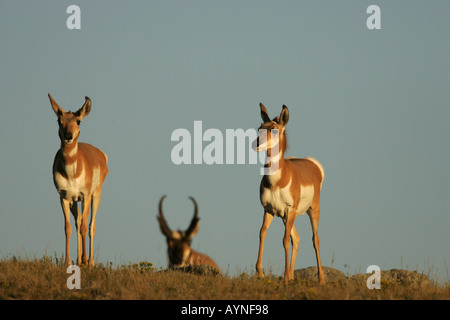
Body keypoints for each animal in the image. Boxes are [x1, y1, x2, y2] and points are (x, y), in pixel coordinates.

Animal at [49, 94, 108, 268]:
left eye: (78, 121)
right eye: (59, 120)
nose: (68, 137)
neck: (71, 172)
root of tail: (100, 154)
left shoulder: (85, 196)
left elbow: (84, 227)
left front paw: (88, 262)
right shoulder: (64, 197)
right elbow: (68, 227)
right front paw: (68, 262)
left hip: (95, 196)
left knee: (90, 225)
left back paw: (90, 262)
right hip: (74, 201)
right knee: (78, 221)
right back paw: (80, 260)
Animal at [255, 103, 326, 284]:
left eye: (273, 129)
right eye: (260, 127)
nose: (256, 143)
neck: (277, 182)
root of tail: (312, 164)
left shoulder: (289, 210)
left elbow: (285, 240)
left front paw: (285, 277)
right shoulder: (268, 210)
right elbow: (262, 233)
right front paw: (259, 272)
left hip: (311, 210)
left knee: (315, 239)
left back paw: (321, 279)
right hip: (285, 216)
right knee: (297, 238)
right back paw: (293, 275)